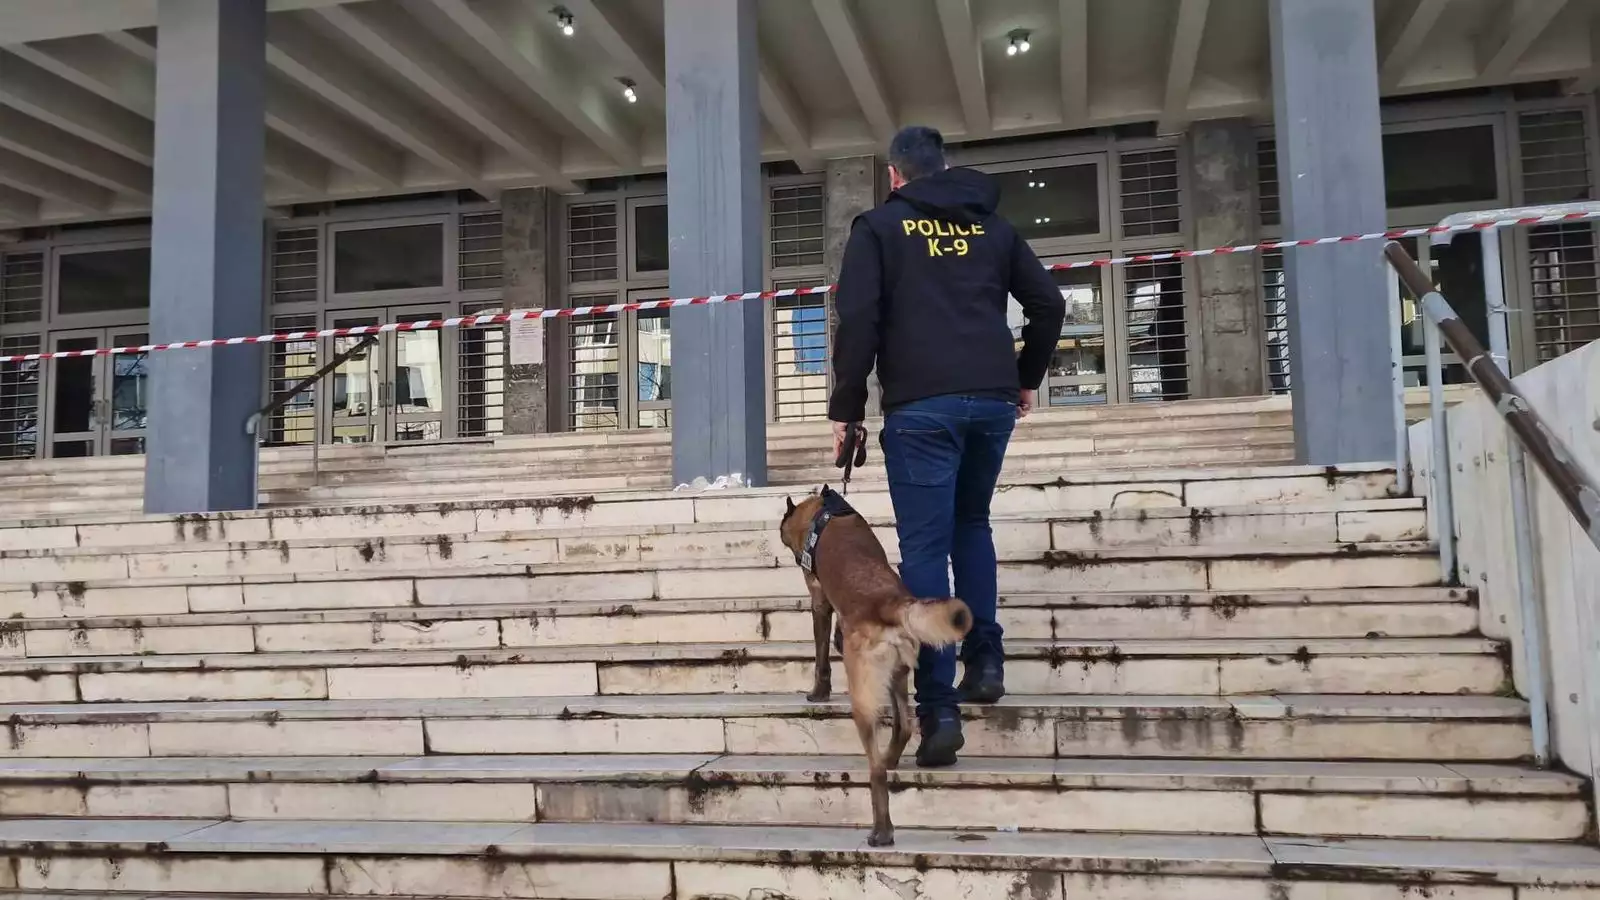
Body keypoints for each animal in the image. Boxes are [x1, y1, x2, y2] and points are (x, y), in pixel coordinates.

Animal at [777, 483, 966, 839]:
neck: (821, 511)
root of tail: (891, 603)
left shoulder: (819, 600)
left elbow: (821, 656)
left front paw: (818, 691)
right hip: (895, 674)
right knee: (904, 725)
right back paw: (893, 759)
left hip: (863, 694)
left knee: (875, 768)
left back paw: (882, 830)